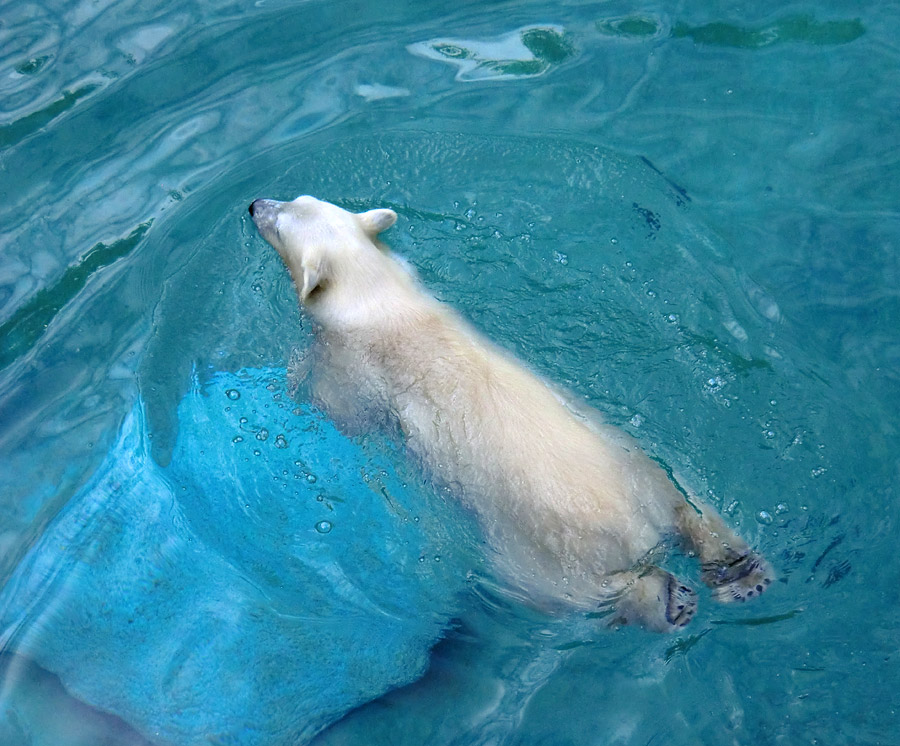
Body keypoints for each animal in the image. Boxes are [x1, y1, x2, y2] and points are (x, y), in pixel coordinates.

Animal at [251, 195, 772, 632]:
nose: (255, 203)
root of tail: (636, 529)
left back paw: (671, 601)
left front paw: (290, 381)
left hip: (534, 552)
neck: (378, 300)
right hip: (633, 457)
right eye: (295, 200)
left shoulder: (353, 366)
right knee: (691, 506)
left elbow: (338, 407)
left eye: (280, 222)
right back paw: (743, 574)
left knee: (581, 591)